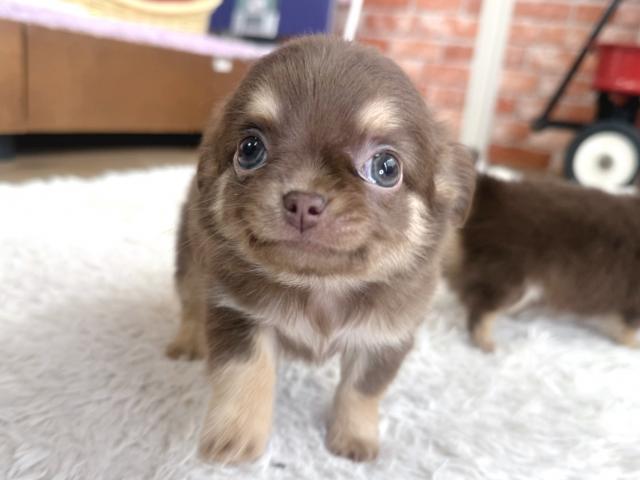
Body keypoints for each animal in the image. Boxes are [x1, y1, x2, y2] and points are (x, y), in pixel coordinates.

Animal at [166, 35, 475, 463]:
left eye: (386, 168)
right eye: (250, 148)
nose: (303, 201)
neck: (321, 286)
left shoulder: (384, 337)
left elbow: (361, 391)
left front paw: (354, 438)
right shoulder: (238, 313)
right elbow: (244, 372)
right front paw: (236, 436)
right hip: (193, 261)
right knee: (192, 302)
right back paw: (188, 342)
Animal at [444, 173, 640, 353]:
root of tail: (492, 192)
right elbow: (629, 327)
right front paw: (633, 344)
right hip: (509, 281)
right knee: (480, 311)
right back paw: (487, 343)